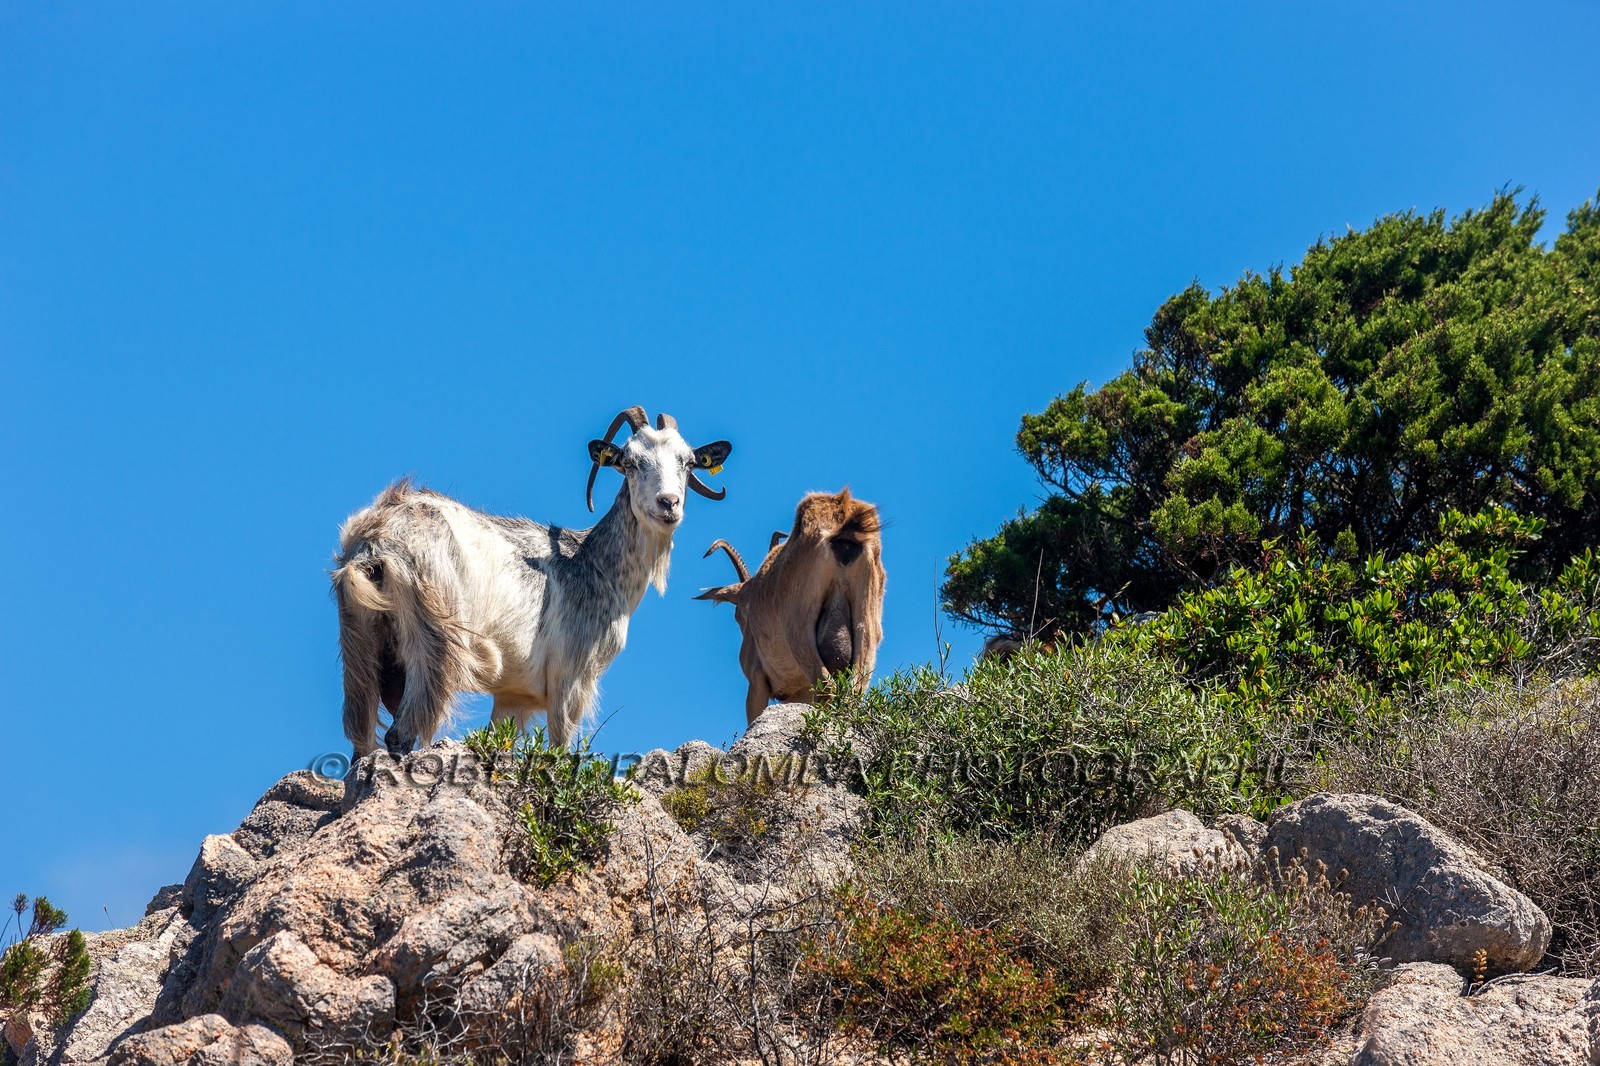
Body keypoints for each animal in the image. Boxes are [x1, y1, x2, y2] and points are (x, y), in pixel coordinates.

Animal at [331, 405, 731, 756]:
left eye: (688, 462)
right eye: (630, 462)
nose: (668, 503)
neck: (596, 564)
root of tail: (377, 538)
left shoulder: (513, 697)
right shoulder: (569, 679)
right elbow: (561, 749)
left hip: (359, 642)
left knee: (361, 738)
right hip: (434, 640)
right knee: (400, 734)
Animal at [696, 488, 884, 724]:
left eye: (738, 615)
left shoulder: (757, 679)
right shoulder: (798, 692)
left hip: (799, 627)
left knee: (828, 688)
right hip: (866, 628)